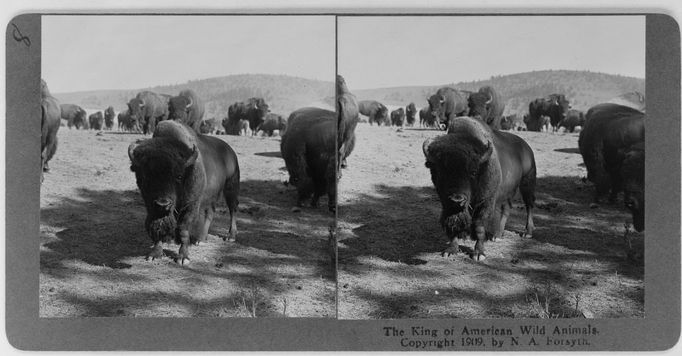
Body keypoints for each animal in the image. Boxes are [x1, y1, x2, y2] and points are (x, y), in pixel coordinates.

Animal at [127, 121, 239, 264]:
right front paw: (154, 254)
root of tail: (230, 151)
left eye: (179, 176)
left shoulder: (191, 205)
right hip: (211, 196)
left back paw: (230, 236)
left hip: (231, 186)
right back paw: (201, 239)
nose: (163, 204)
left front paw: (182, 257)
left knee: (233, 210)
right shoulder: (151, 207)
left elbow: (183, 229)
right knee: (210, 213)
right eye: (144, 176)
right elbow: (157, 230)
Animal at [422, 118, 532, 260]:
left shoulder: (485, 203)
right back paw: (497, 235)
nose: (457, 199)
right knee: (506, 208)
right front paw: (450, 250)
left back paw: (527, 233)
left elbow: (479, 226)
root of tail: (526, 147)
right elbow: (452, 226)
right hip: (507, 192)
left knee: (529, 206)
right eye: (440, 172)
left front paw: (479, 254)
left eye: (473, 172)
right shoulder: (446, 205)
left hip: (528, 182)